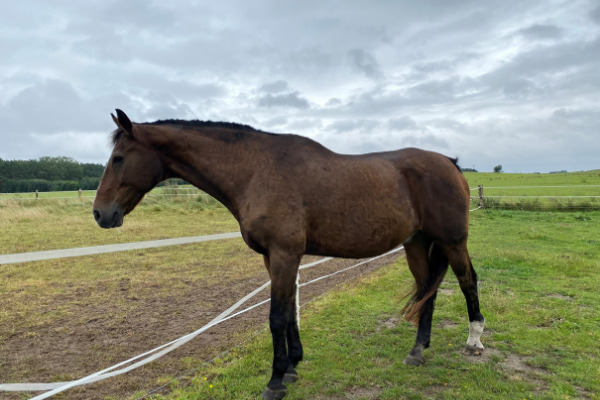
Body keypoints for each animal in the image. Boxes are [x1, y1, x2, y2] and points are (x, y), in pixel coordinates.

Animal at [95, 109, 488, 400]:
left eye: (118, 159)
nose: (101, 214)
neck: (257, 170)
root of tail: (451, 163)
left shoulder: (284, 254)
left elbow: (276, 317)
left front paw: (274, 382)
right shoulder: (275, 258)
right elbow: (289, 314)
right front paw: (293, 367)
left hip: (452, 241)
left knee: (468, 281)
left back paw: (474, 342)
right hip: (416, 243)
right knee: (427, 291)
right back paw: (417, 350)